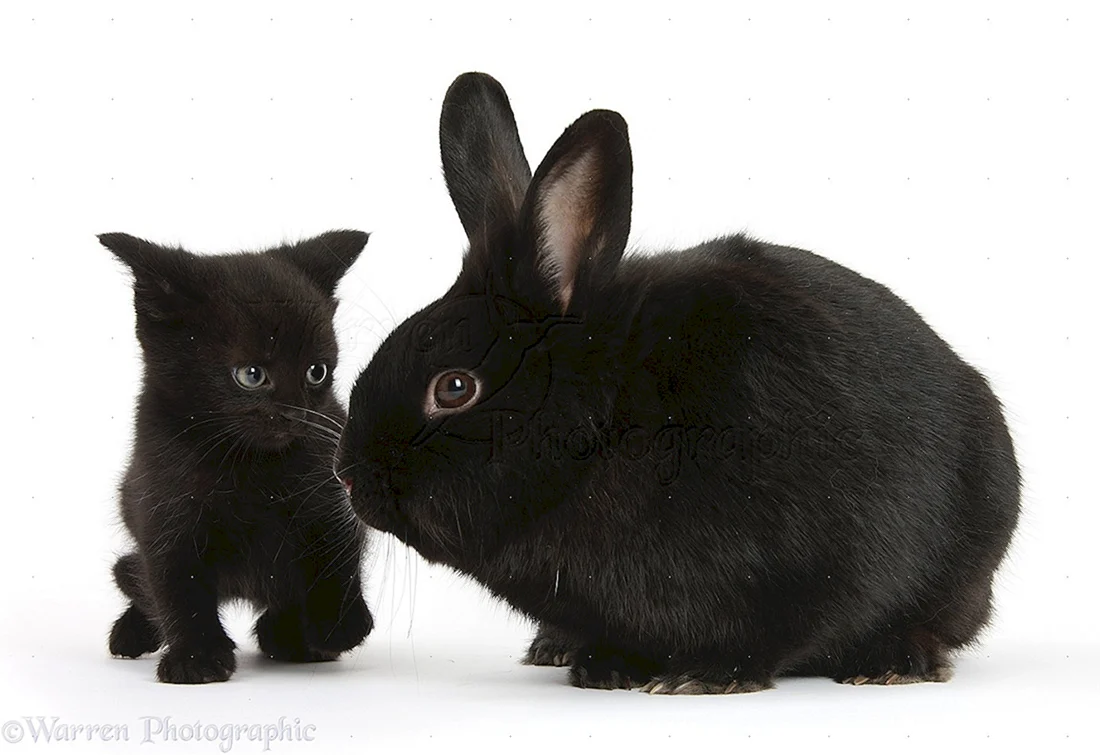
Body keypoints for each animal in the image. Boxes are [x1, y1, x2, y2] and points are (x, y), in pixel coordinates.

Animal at [336, 72, 1021, 694]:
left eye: (454, 388)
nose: (347, 474)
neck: (603, 428)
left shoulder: (805, 564)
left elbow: (776, 632)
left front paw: (707, 677)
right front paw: (605, 667)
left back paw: (892, 662)